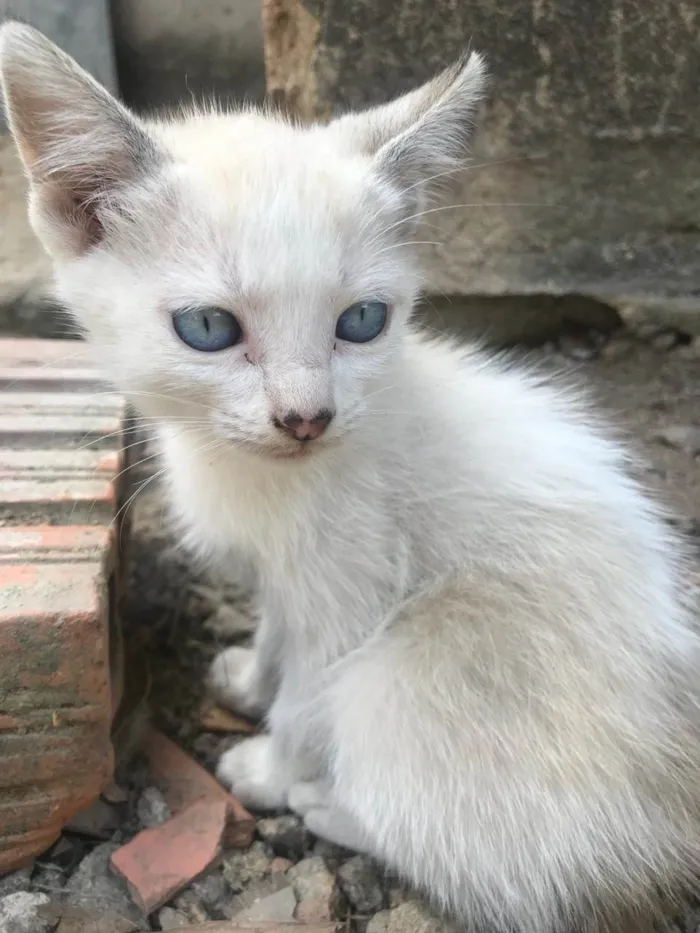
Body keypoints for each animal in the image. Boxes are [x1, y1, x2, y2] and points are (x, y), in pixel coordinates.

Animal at [1, 21, 700, 932]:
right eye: (209, 328)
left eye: (362, 321)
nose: (306, 418)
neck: (256, 475)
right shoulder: (285, 577)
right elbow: (277, 633)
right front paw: (248, 677)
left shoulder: (349, 591)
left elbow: (309, 691)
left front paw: (270, 764)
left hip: (398, 677)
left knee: (504, 862)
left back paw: (327, 803)